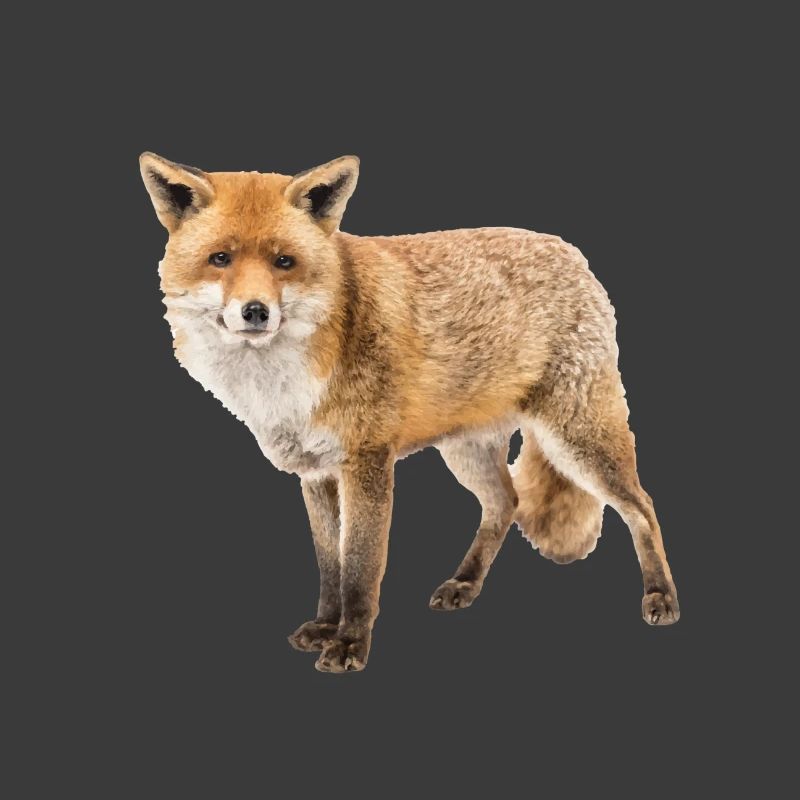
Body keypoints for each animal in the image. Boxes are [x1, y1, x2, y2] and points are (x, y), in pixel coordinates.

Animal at [140, 151, 679, 673]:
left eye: (284, 262)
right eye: (220, 259)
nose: (255, 311)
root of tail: (570, 250)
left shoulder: (368, 461)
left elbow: (359, 567)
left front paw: (349, 644)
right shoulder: (315, 472)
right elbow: (329, 564)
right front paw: (325, 625)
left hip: (578, 440)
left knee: (642, 506)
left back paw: (661, 596)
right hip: (468, 452)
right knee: (507, 502)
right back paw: (464, 583)